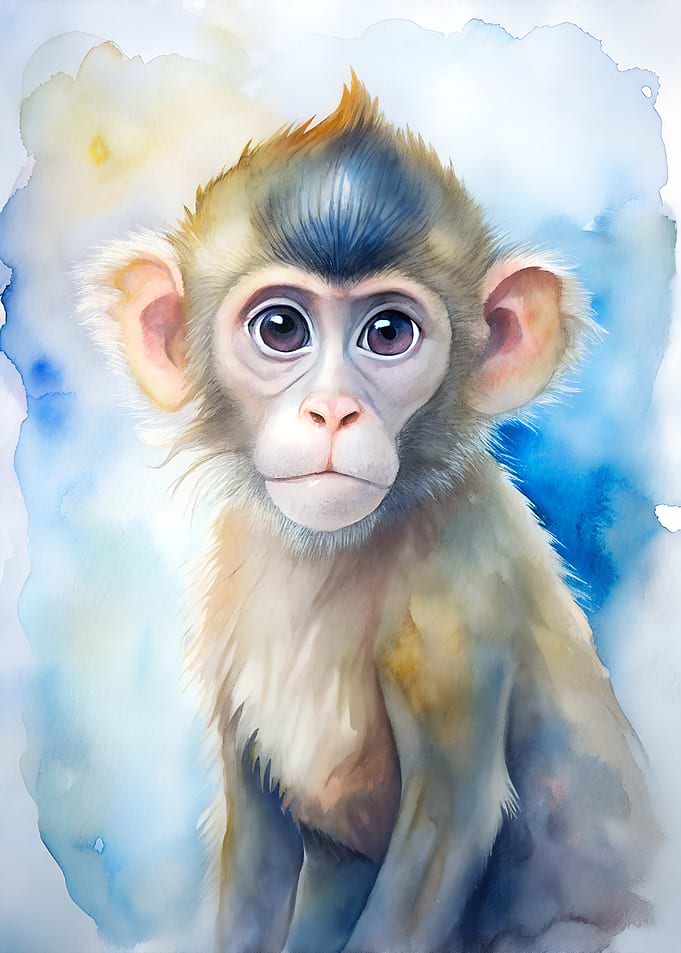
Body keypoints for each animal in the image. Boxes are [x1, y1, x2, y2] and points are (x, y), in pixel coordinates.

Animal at [76, 75, 659, 953]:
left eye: (388, 332)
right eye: (281, 327)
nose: (332, 411)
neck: (336, 551)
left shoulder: (460, 600)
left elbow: (445, 831)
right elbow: (257, 841)